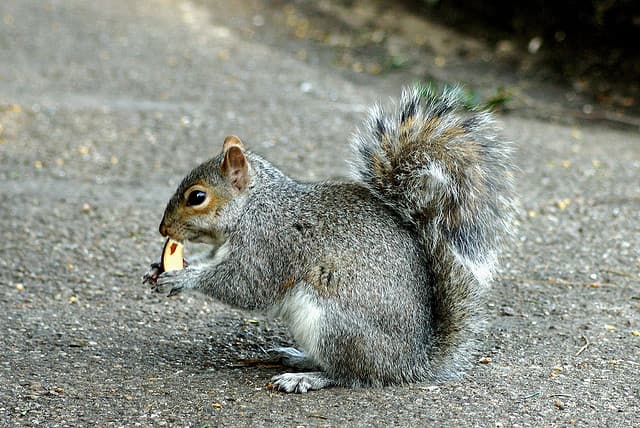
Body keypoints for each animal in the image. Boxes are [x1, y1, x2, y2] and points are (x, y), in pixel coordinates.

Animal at [143, 86, 516, 393]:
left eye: (197, 197)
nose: (163, 229)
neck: (255, 205)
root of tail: (410, 362)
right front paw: (157, 270)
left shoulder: (270, 243)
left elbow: (245, 285)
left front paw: (182, 277)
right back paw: (297, 357)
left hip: (333, 322)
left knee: (351, 375)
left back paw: (307, 377)